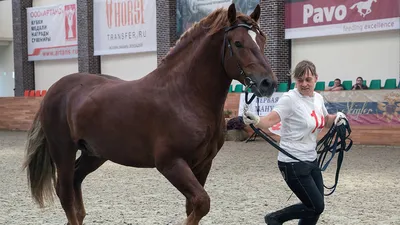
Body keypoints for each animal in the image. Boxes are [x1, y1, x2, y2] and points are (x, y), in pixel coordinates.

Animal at [23, 3, 276, 225]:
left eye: (262, 40)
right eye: (238, 43)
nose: (268, 83)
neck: (185, 96)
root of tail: (55, 89)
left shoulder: (203, 164)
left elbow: (193, 207)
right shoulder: (170, 163)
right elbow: (202, 203)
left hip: (94, 153)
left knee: (76, 182)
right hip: (63, 151)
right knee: (64, 191)